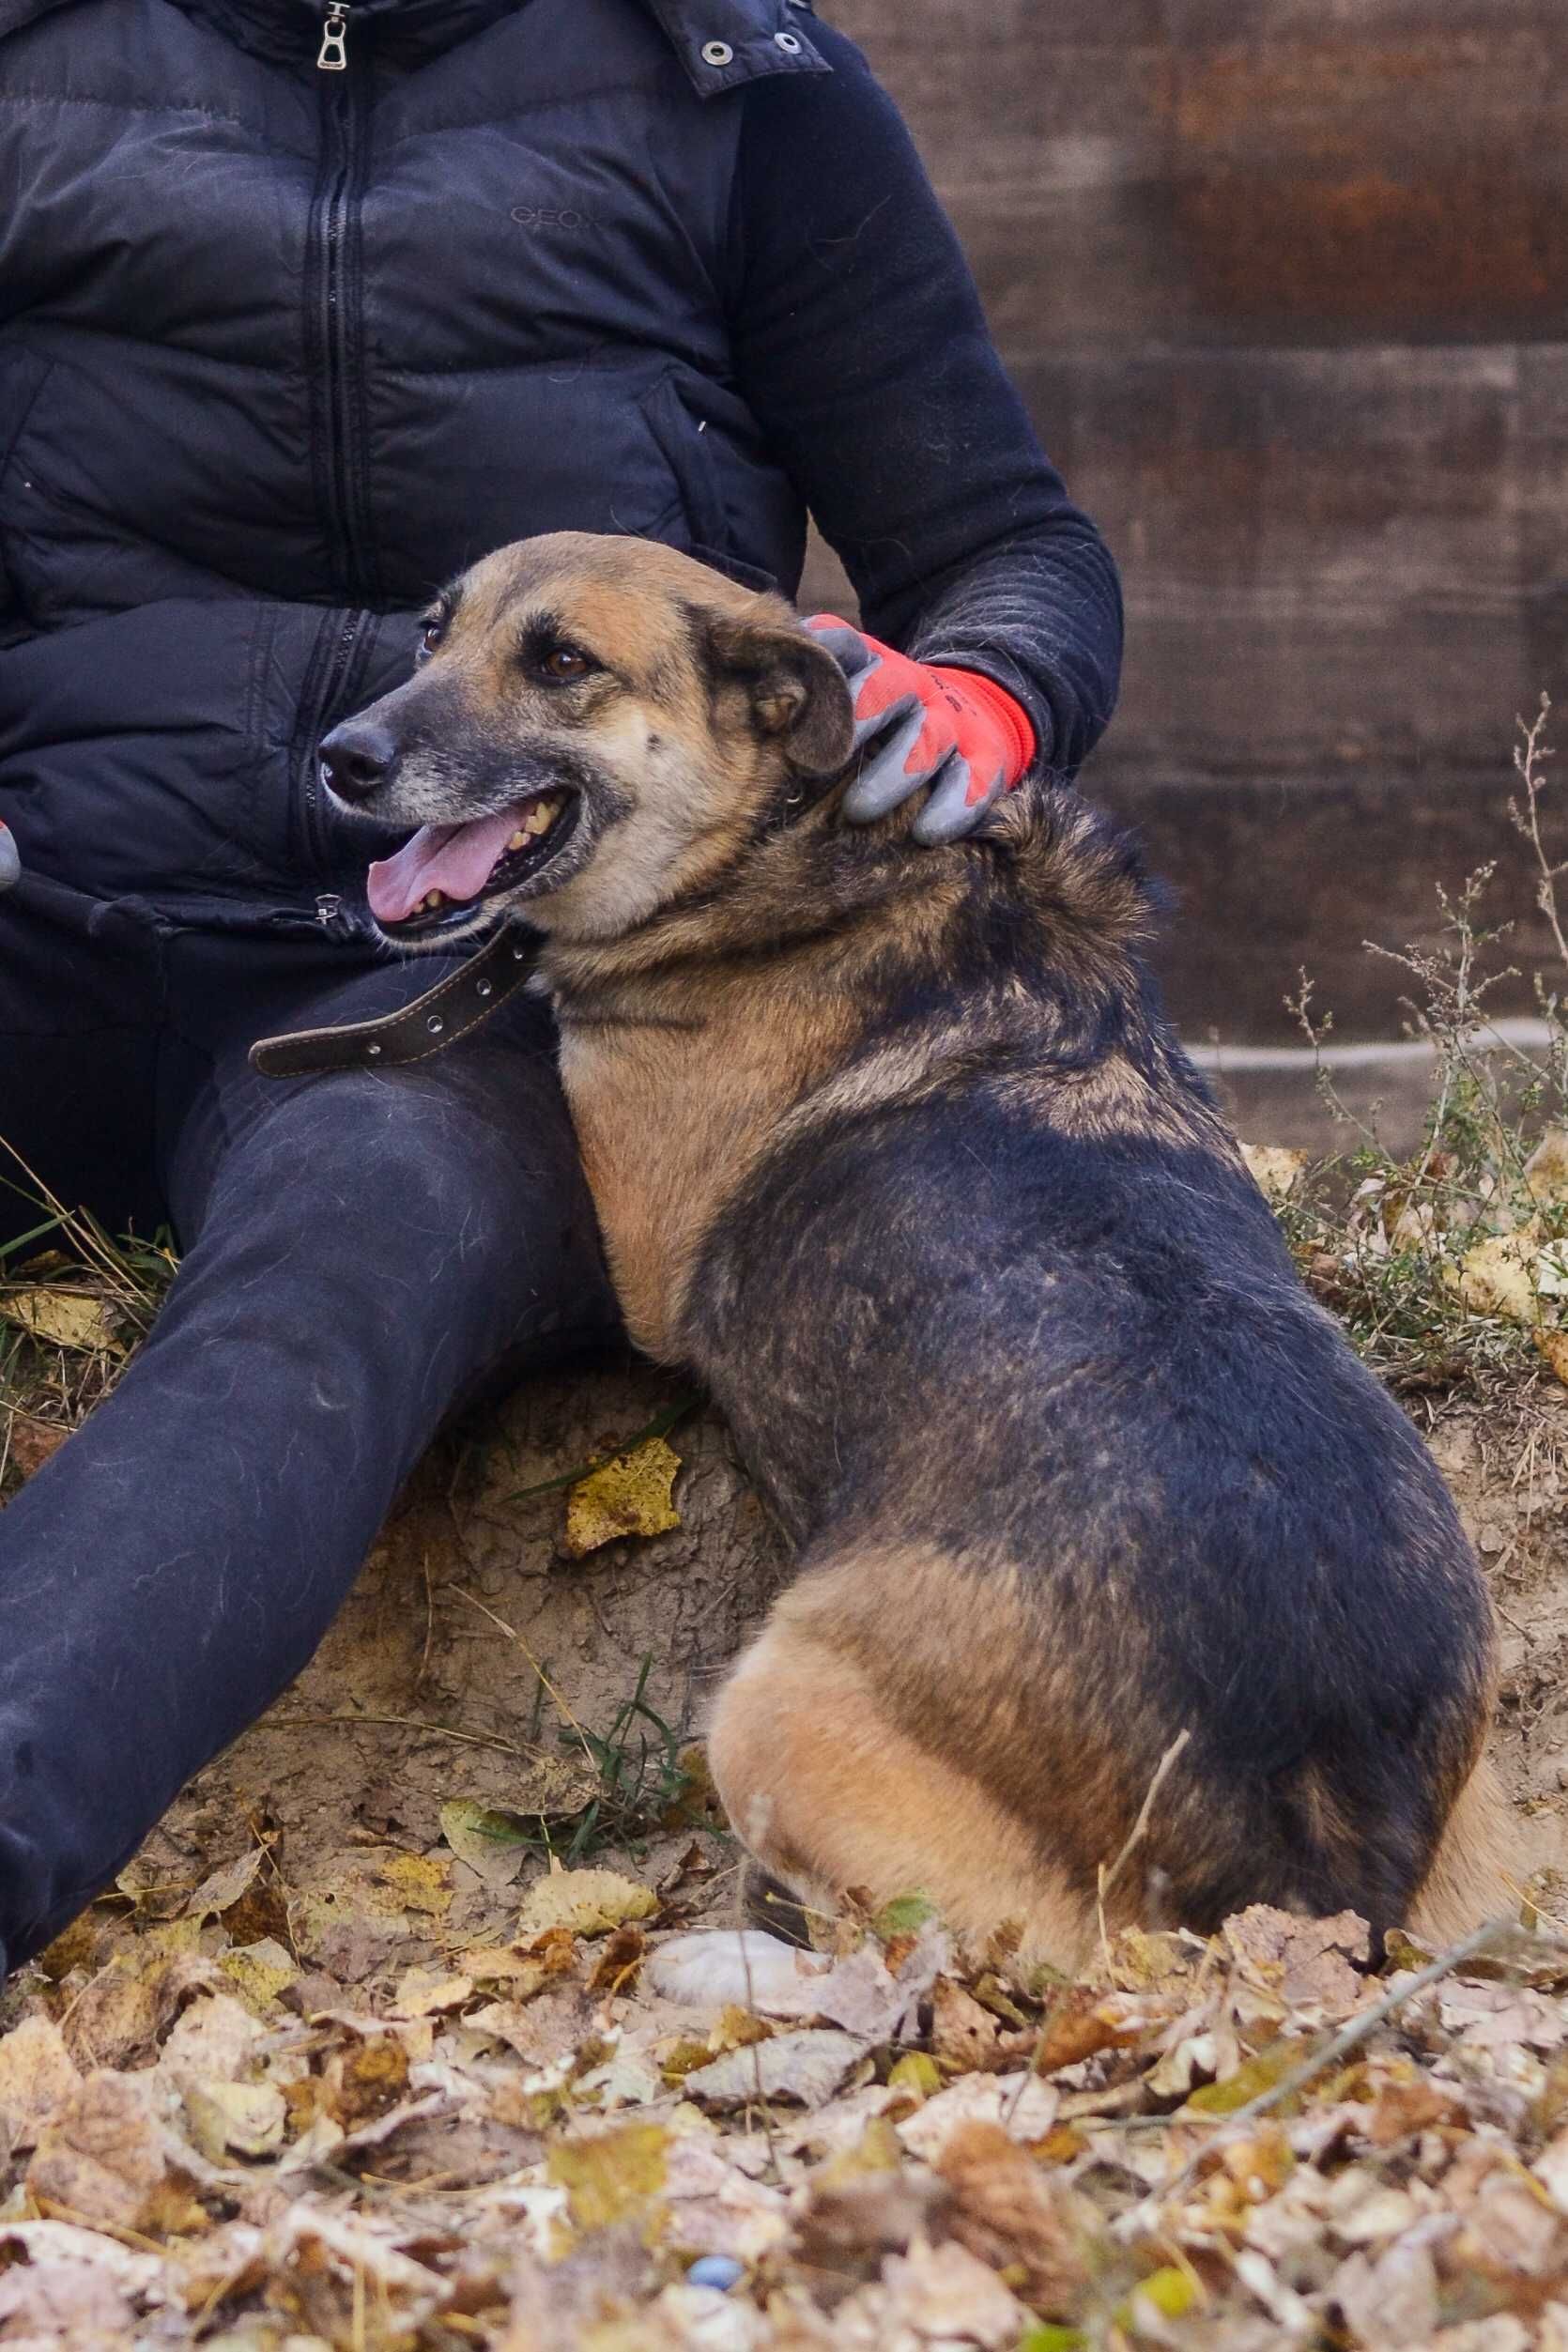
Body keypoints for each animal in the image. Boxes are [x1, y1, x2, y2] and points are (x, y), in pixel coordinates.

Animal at [315, 538, 1504, 1966]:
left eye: (558, 660)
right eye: (431, 635)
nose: (339, 757)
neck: (787, 847)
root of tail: (1323, 1852)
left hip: (776, 1707)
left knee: (949, 1953)